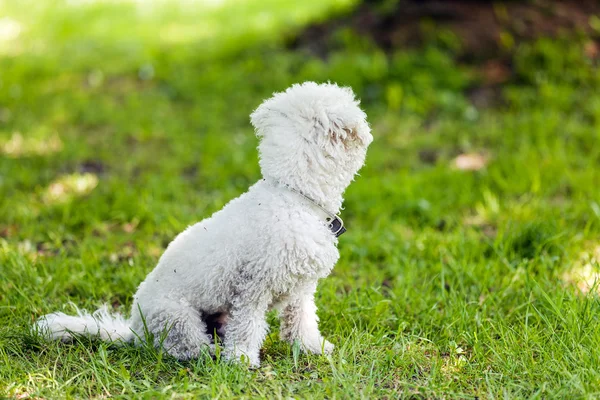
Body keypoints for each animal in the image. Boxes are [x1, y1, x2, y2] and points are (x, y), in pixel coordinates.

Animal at [35, 82, 372, 368]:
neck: (293, 196)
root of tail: (134, 330)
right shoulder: (252, 287)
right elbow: (248, 327)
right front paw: (241, 361)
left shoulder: (301, 289)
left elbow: (301, 320)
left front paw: (312, 347)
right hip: (177, 317)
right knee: (181, 347)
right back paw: (209, 353)